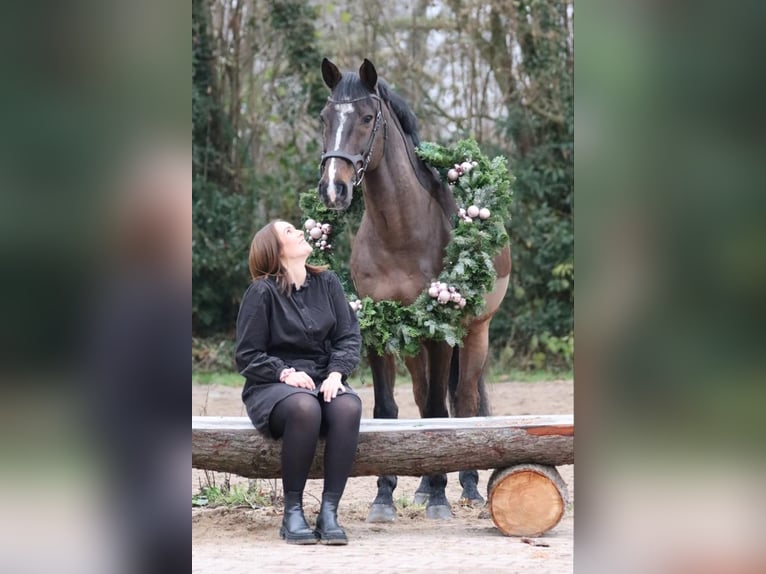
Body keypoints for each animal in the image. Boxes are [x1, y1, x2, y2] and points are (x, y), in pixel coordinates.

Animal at [318, 57, 510, 520]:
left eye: (367, 118)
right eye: (324, 118)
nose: (333, 190)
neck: (400, 233)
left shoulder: (439, 330)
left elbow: (441, 410)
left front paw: (441, 497)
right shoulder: (376, 326)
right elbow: (390, 409)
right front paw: (384, 496)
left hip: (473, 333)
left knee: (463, 402)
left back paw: (466, 487)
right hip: (412, 343)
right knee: (424, 399)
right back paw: (422, 488)